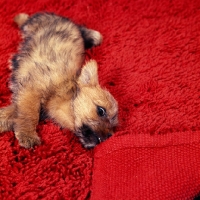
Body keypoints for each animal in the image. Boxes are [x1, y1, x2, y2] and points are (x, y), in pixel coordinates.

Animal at [0, 11, 118, 148]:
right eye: (101, 111)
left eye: (113, 128)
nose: (108, 137)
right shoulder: (31, 91)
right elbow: (29, 114)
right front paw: (28, 135)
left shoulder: (26, 98)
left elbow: (12, 114)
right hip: (35, 22)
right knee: (25, 19)